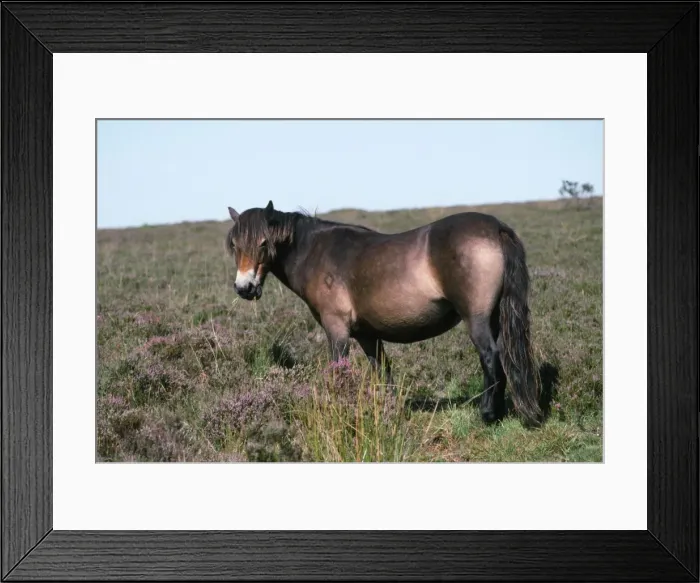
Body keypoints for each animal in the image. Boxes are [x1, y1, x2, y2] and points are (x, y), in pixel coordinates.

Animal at [225, 200, 542, 427]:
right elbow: (382, 372)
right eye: (236, 246)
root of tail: (496, 227)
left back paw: (488, 415)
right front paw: (390, 413)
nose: (244, 287)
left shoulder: (336, 330)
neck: (316, 252)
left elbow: (339, 371)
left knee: (491, 357)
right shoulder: (368, 336)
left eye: (263, 243)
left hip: (476, 319)